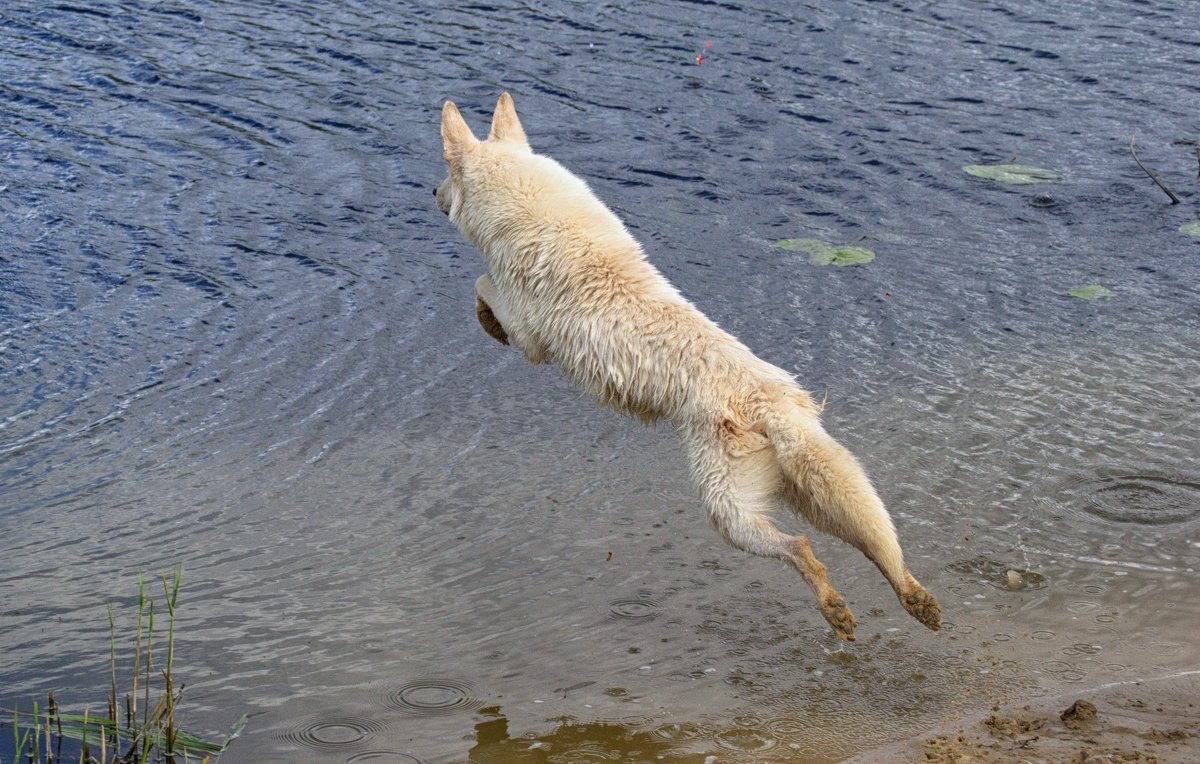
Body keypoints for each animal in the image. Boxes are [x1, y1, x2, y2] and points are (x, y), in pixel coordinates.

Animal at [436, 91, 940, 638]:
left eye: (445, 172)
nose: (432, 191)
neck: (528, 203)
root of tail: (768, 405)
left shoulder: (530, 334)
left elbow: (483, 285)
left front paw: (488, 321)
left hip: (728, 510)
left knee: (803, 550)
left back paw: (837, 608)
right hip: (820, 488)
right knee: (876, 543)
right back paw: (914, 599)